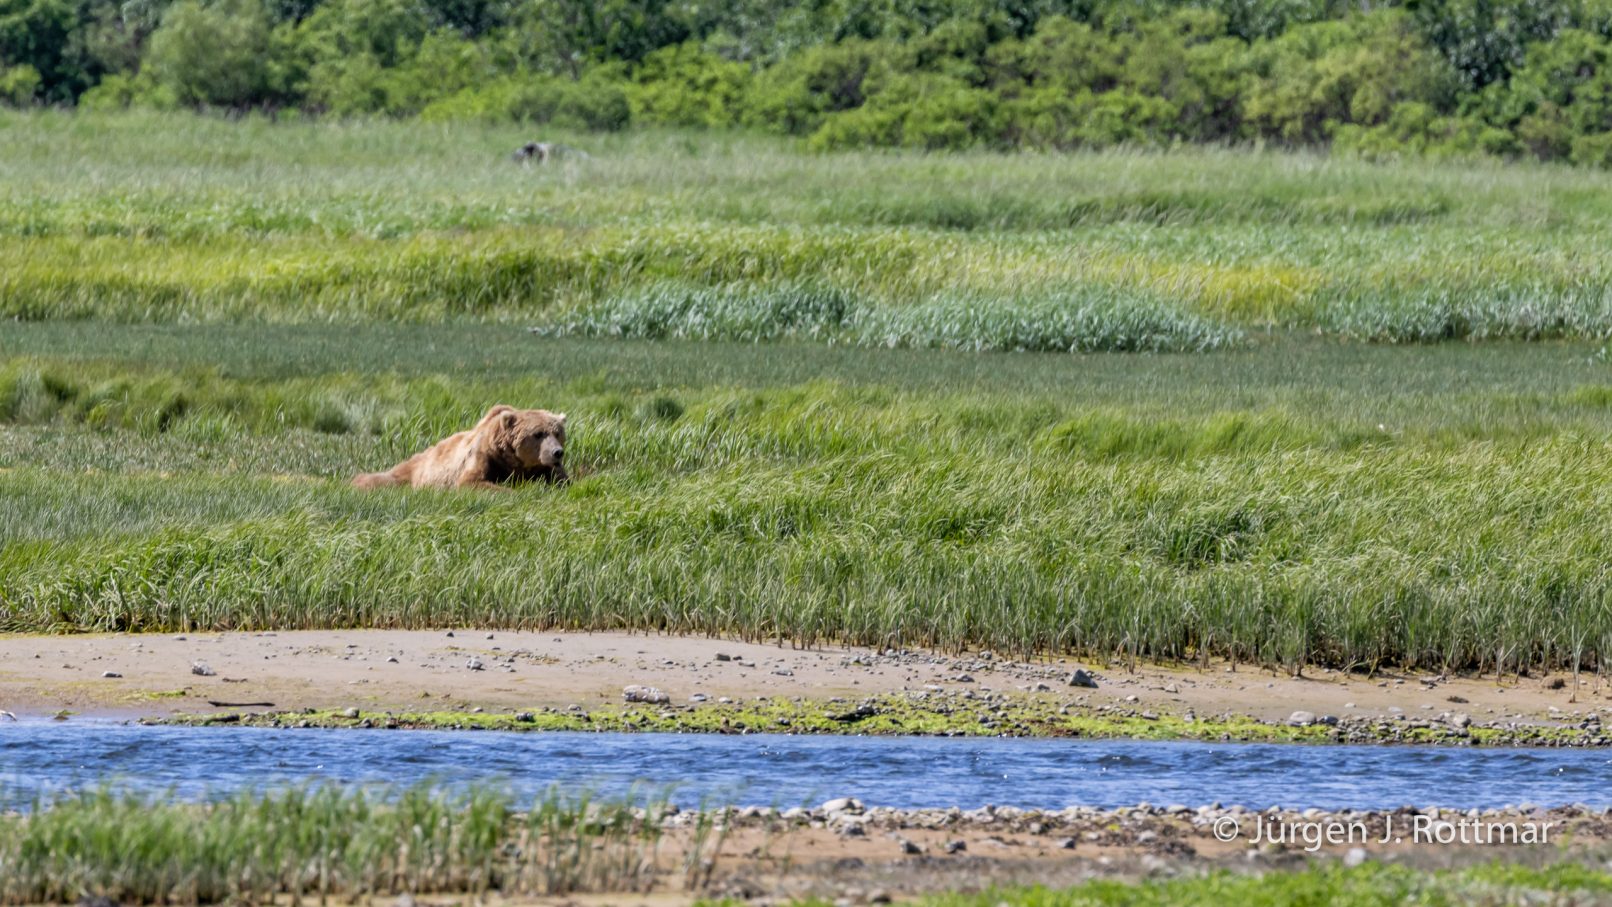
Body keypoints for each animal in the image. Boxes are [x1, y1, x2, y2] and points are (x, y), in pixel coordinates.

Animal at [352, 405, 568, 491]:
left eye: (557, 432)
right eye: (538, 434)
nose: (557, 452)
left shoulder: (543, 468)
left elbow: (562, 481)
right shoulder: (484, 456)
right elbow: (470, 482)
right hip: (413, 472)